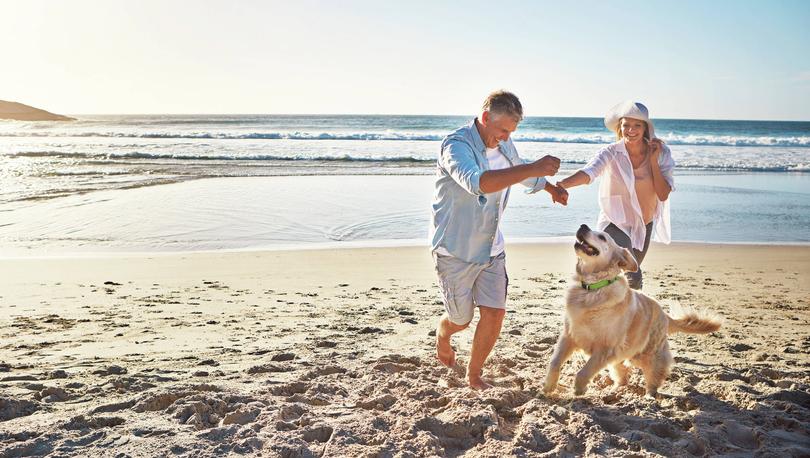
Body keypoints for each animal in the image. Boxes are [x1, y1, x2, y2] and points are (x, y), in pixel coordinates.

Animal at [544, 224, 720, 396]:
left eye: (602, 237)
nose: (583, 226)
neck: (592, 290)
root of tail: (665, 315)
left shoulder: (605, 348)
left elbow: (584, 371)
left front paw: (579, 389)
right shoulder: (568, 337)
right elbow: (554, 362)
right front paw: (549, 387)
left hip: (648, 355)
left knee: (654, 378)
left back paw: (649, 397)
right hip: (621, 357)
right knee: (623, 377)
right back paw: (614, 391)